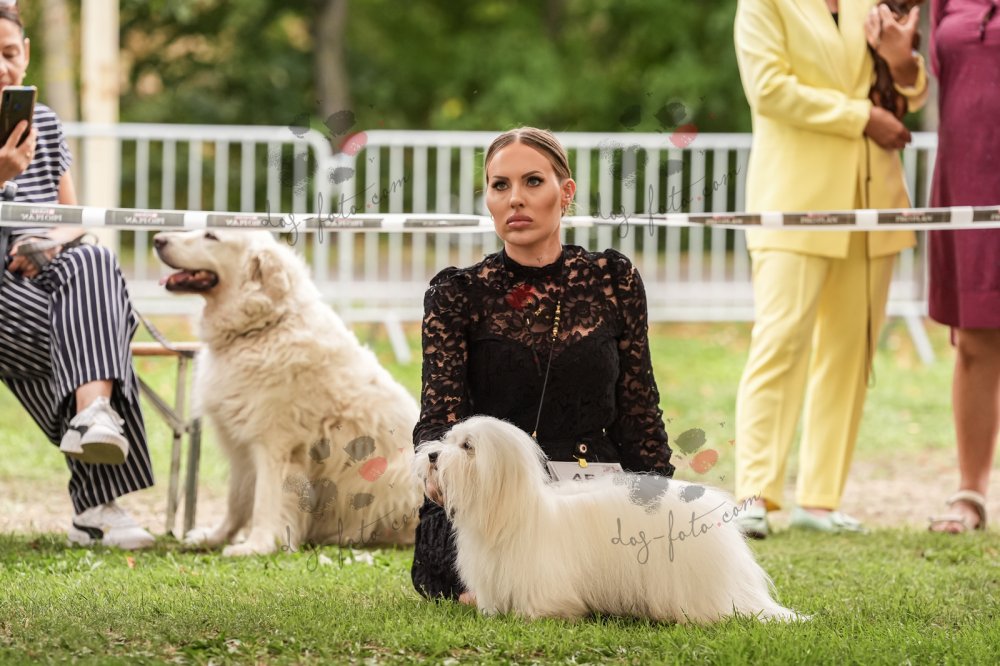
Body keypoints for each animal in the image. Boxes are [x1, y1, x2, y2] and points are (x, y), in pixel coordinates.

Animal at [154, 228, 422, 556]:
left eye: (211, 236)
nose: (157, 240)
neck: (264, 326)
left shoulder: (274, 443)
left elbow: (265, 501)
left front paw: (257, 545)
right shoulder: (241, 445)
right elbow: (236, 501)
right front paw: (217, 537)